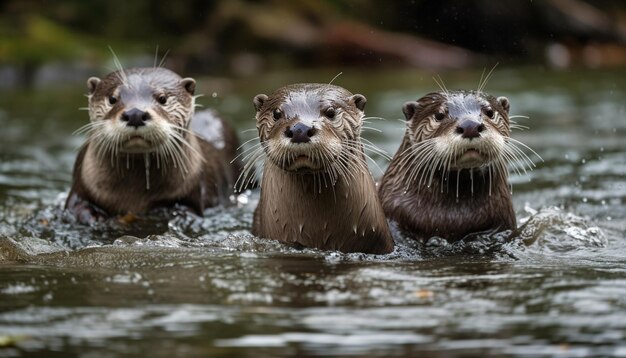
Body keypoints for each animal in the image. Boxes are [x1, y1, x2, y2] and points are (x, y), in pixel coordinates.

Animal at [64, 67, 239, 224]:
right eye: (112, 99)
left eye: (162, 98)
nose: (135, 114)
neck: (134, 195)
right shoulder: (81, 185)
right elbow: (75, 206)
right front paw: (94, 215)